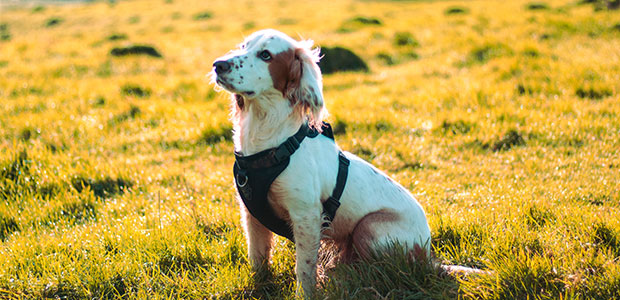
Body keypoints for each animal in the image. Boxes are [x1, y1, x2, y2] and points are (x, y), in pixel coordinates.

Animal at [213, 29, 432, 296]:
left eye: (266, 55)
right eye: (244, 46)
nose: (218, 65)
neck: (270, 144)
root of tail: (429, 257)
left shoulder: (306, 216)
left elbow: (304, 269)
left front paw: (303, 295)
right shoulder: (252, 215)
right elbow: (258, 259)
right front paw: (258, 288)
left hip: (369, 227)